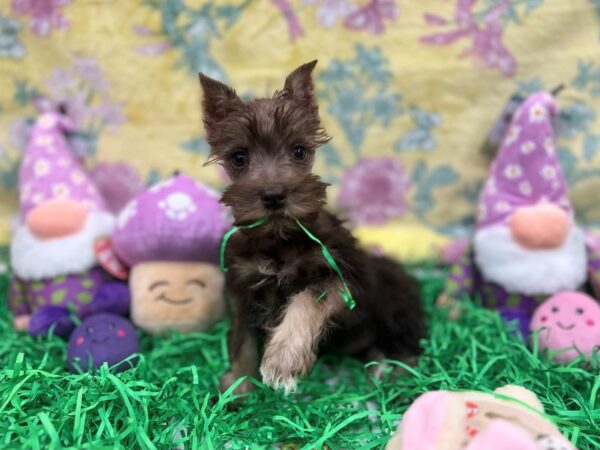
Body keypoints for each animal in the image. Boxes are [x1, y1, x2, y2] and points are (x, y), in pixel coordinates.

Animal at [199, 60, 424, 394]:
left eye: (299, 151)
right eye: (239, 157)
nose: (274, 195)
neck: (279, 240)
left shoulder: (341, 278)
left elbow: (307, 299)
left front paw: (282, 361)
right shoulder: (242, 290)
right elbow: (242, 342)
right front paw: (237, 388)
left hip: (392, 302)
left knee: (406, 343)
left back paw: (397, 373)